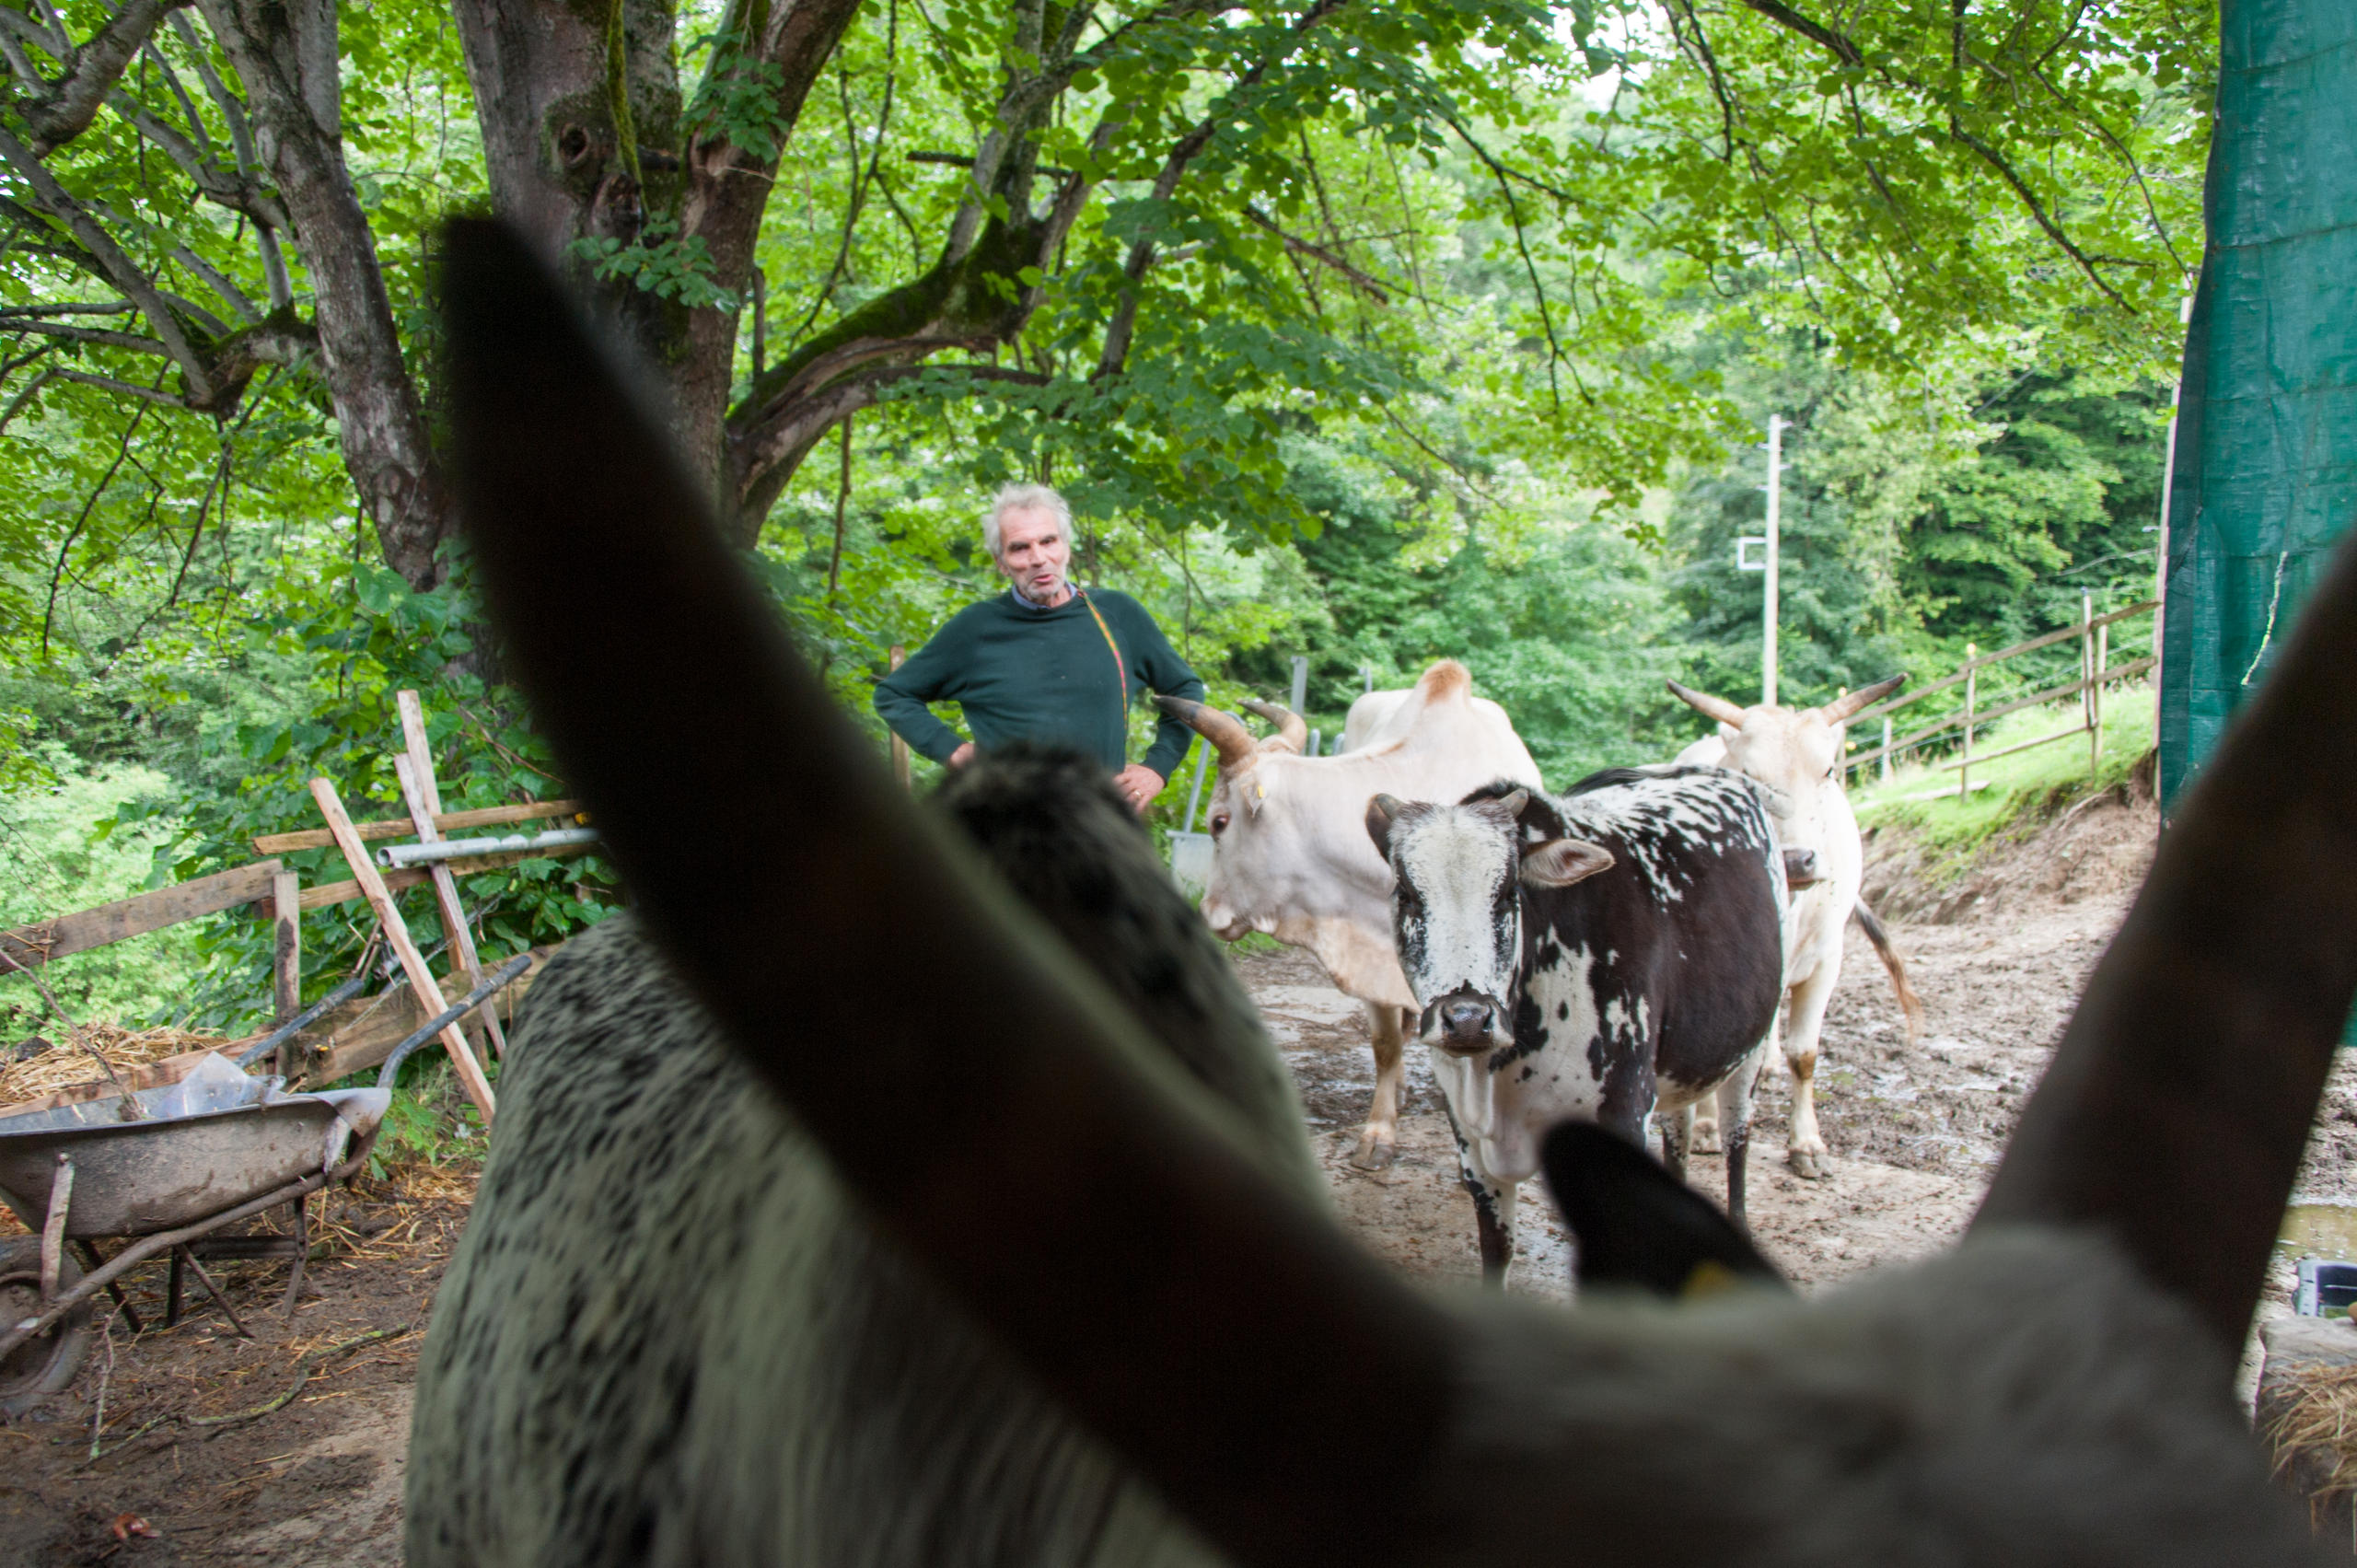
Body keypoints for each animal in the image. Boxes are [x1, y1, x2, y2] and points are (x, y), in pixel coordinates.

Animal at [1366, 763, 1782, 1283]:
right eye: (1406, 894)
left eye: (1509, 893)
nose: (1467, 1019)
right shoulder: (1469, 1135)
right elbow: (1496, 1249)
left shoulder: (1624, 1110)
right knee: (1679, 1130)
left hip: (1753, 1049)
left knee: (1736, 1141)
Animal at [1668, 674, 1922, 1174]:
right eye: (1748, 774)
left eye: (1827, 772)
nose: (1796, 859)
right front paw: (1707, 1125)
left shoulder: (1826, 963)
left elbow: (1804, 1055)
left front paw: (1807, 1143)